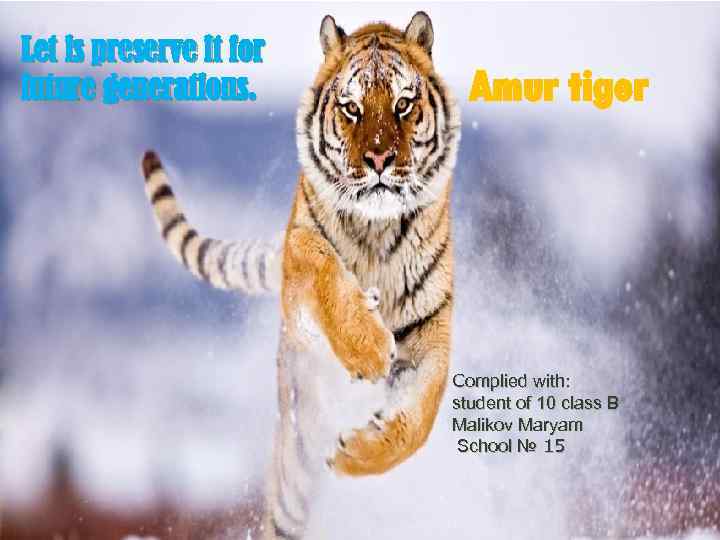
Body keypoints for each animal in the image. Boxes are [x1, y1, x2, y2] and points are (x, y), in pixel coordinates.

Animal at [140, 11, 460, 539]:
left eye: (403, 104)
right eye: (351, 108)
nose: (378, 160)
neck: (377, 229)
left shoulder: (431, 330)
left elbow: (419, 420)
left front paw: (355, 454)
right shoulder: (300, 254)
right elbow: (324, 267)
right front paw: (370, 347)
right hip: (294, 475)